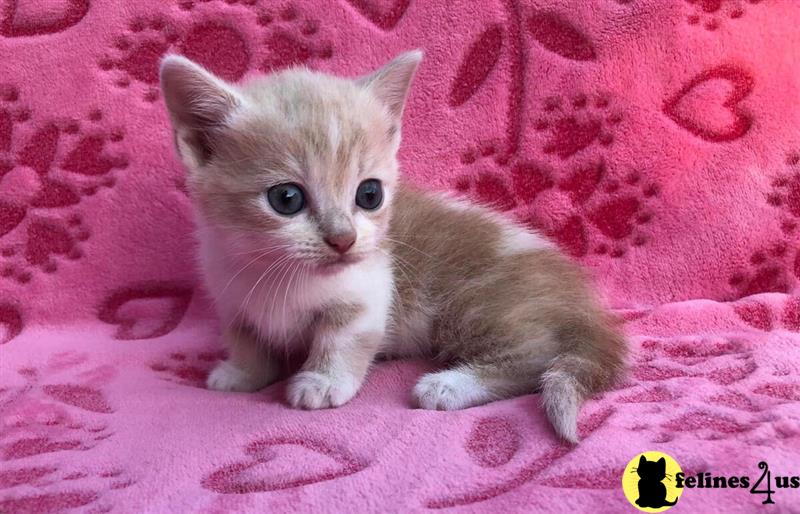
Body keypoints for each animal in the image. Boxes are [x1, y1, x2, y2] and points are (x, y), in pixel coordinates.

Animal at [159, 50, 628, 440]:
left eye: (369, 194)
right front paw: (242, 374)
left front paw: (323, 382)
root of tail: (583, 303)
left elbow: (340, 339)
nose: (343, 239)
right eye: (286, 199)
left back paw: (449, 385)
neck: (279, 274)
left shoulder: (367, 291)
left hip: (479, 305)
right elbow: (246, 339)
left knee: (535, 358)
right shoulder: (230, 293)